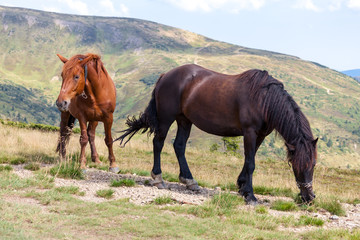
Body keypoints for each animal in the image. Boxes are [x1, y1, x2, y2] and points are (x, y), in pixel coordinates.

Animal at [116, 63, 318, 202]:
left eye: (314, 165)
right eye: (296, 165)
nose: (308, 197)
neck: (264, 100)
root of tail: (165, 75)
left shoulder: (259, 136)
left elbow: (249, 160)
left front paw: (242, 187)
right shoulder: (250, 132)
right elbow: (250, 163)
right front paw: (250, 195)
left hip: (184, 120)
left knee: (179, 146)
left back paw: (190, 181)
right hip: (166, 119)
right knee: (158, 143)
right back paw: (158, 178)